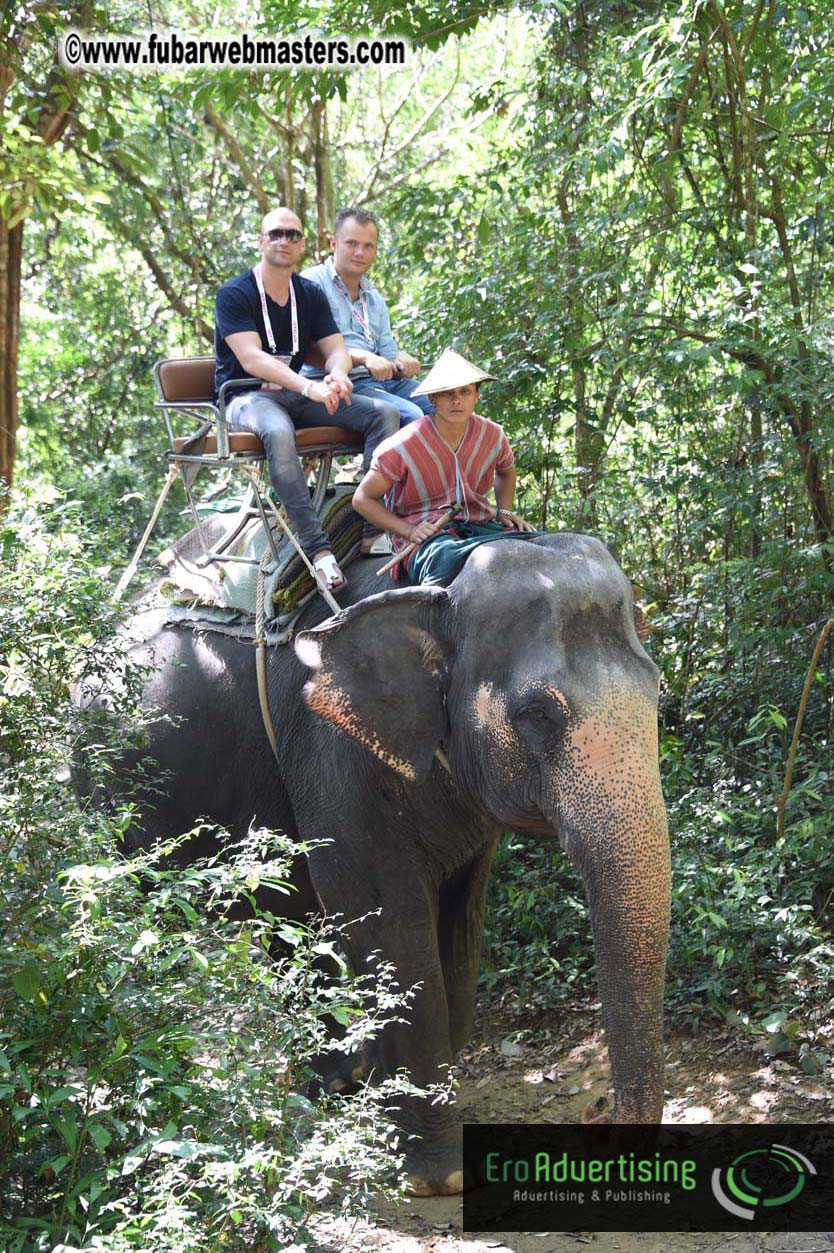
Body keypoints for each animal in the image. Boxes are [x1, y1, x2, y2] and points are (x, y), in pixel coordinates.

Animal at [97, 532, 670, 1197]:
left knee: (293, 918)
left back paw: (336, 1080)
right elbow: (382, 912)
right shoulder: (332, 748)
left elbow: (458, 918)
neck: (436, 593)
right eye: (537, 715)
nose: (601, 1122)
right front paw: (438, 1177)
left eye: (655, 689)